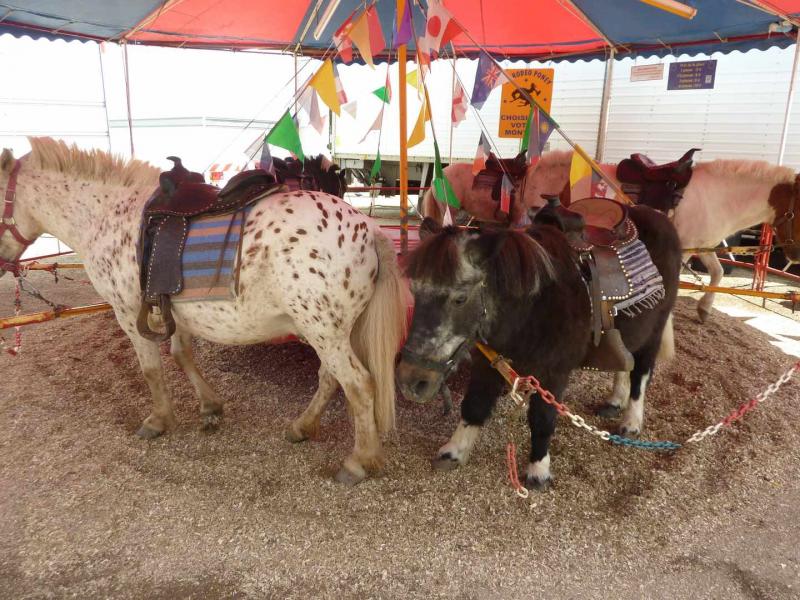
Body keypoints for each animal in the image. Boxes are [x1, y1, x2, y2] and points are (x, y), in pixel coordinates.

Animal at [0, 138, 408, 485]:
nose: (3, 264)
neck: (108, 214)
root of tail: (368, 229)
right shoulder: (174, 310)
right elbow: (182, 354)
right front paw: (210, 406)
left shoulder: (128, 314)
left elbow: (151, 370)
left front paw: (159, 420)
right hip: (328, 332)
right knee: (329, 379)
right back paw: (302, 427)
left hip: (325, 332)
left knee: (358, 385)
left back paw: (358, 462)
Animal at [395, 208, 681, 489]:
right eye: (415, 291)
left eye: (460, 298)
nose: (411, 381)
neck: (533, 305)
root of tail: (660, 217)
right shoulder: (488, 362)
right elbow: (474, 404)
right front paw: (454, 451)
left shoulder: (554, 373)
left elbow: (543, 419)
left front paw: (538, 470)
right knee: (625, 362)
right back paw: (615, 402)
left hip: (654, 332)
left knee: (641, 374)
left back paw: (631, 421)